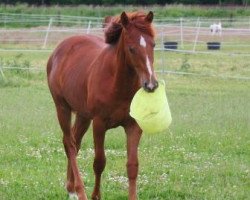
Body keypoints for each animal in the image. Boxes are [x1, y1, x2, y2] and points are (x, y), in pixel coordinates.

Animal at [47, 11, 158, 200]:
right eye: (131, 48)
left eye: (153, 45)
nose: (150, 84)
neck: (117, 84)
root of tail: (59, 49)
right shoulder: (99, 124)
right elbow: (99, 162)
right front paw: (95, 196)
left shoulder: (133, 126)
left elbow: (132, 165)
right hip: (62, 108)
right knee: (69, 144)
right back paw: (79, 191)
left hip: (83, 115)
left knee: (75, 142)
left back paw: (71, 189)